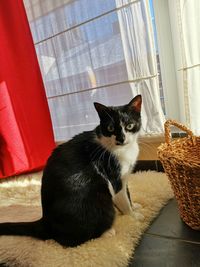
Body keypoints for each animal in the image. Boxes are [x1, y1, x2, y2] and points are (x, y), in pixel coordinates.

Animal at [0, 95, 144, 248]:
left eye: (129, 125)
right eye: (110, 128)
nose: (121, 139)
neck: (123, 150)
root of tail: (45, 221)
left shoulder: (124, 177)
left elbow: (127, 194)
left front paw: (134, 207)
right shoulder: (114, 177)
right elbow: (123, 198)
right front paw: (133, 216)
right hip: (99, 197)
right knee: (67, 241)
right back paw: (106, 232)